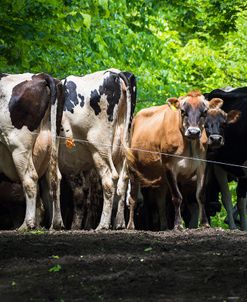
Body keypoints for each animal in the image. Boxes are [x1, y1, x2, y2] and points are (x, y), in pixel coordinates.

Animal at [0, 73, 63, 231]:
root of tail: (40, 76)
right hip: (52, 142)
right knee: (54, 178)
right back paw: (55, 223)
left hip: (19, 146)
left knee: (30, 179)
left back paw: (27, 224)